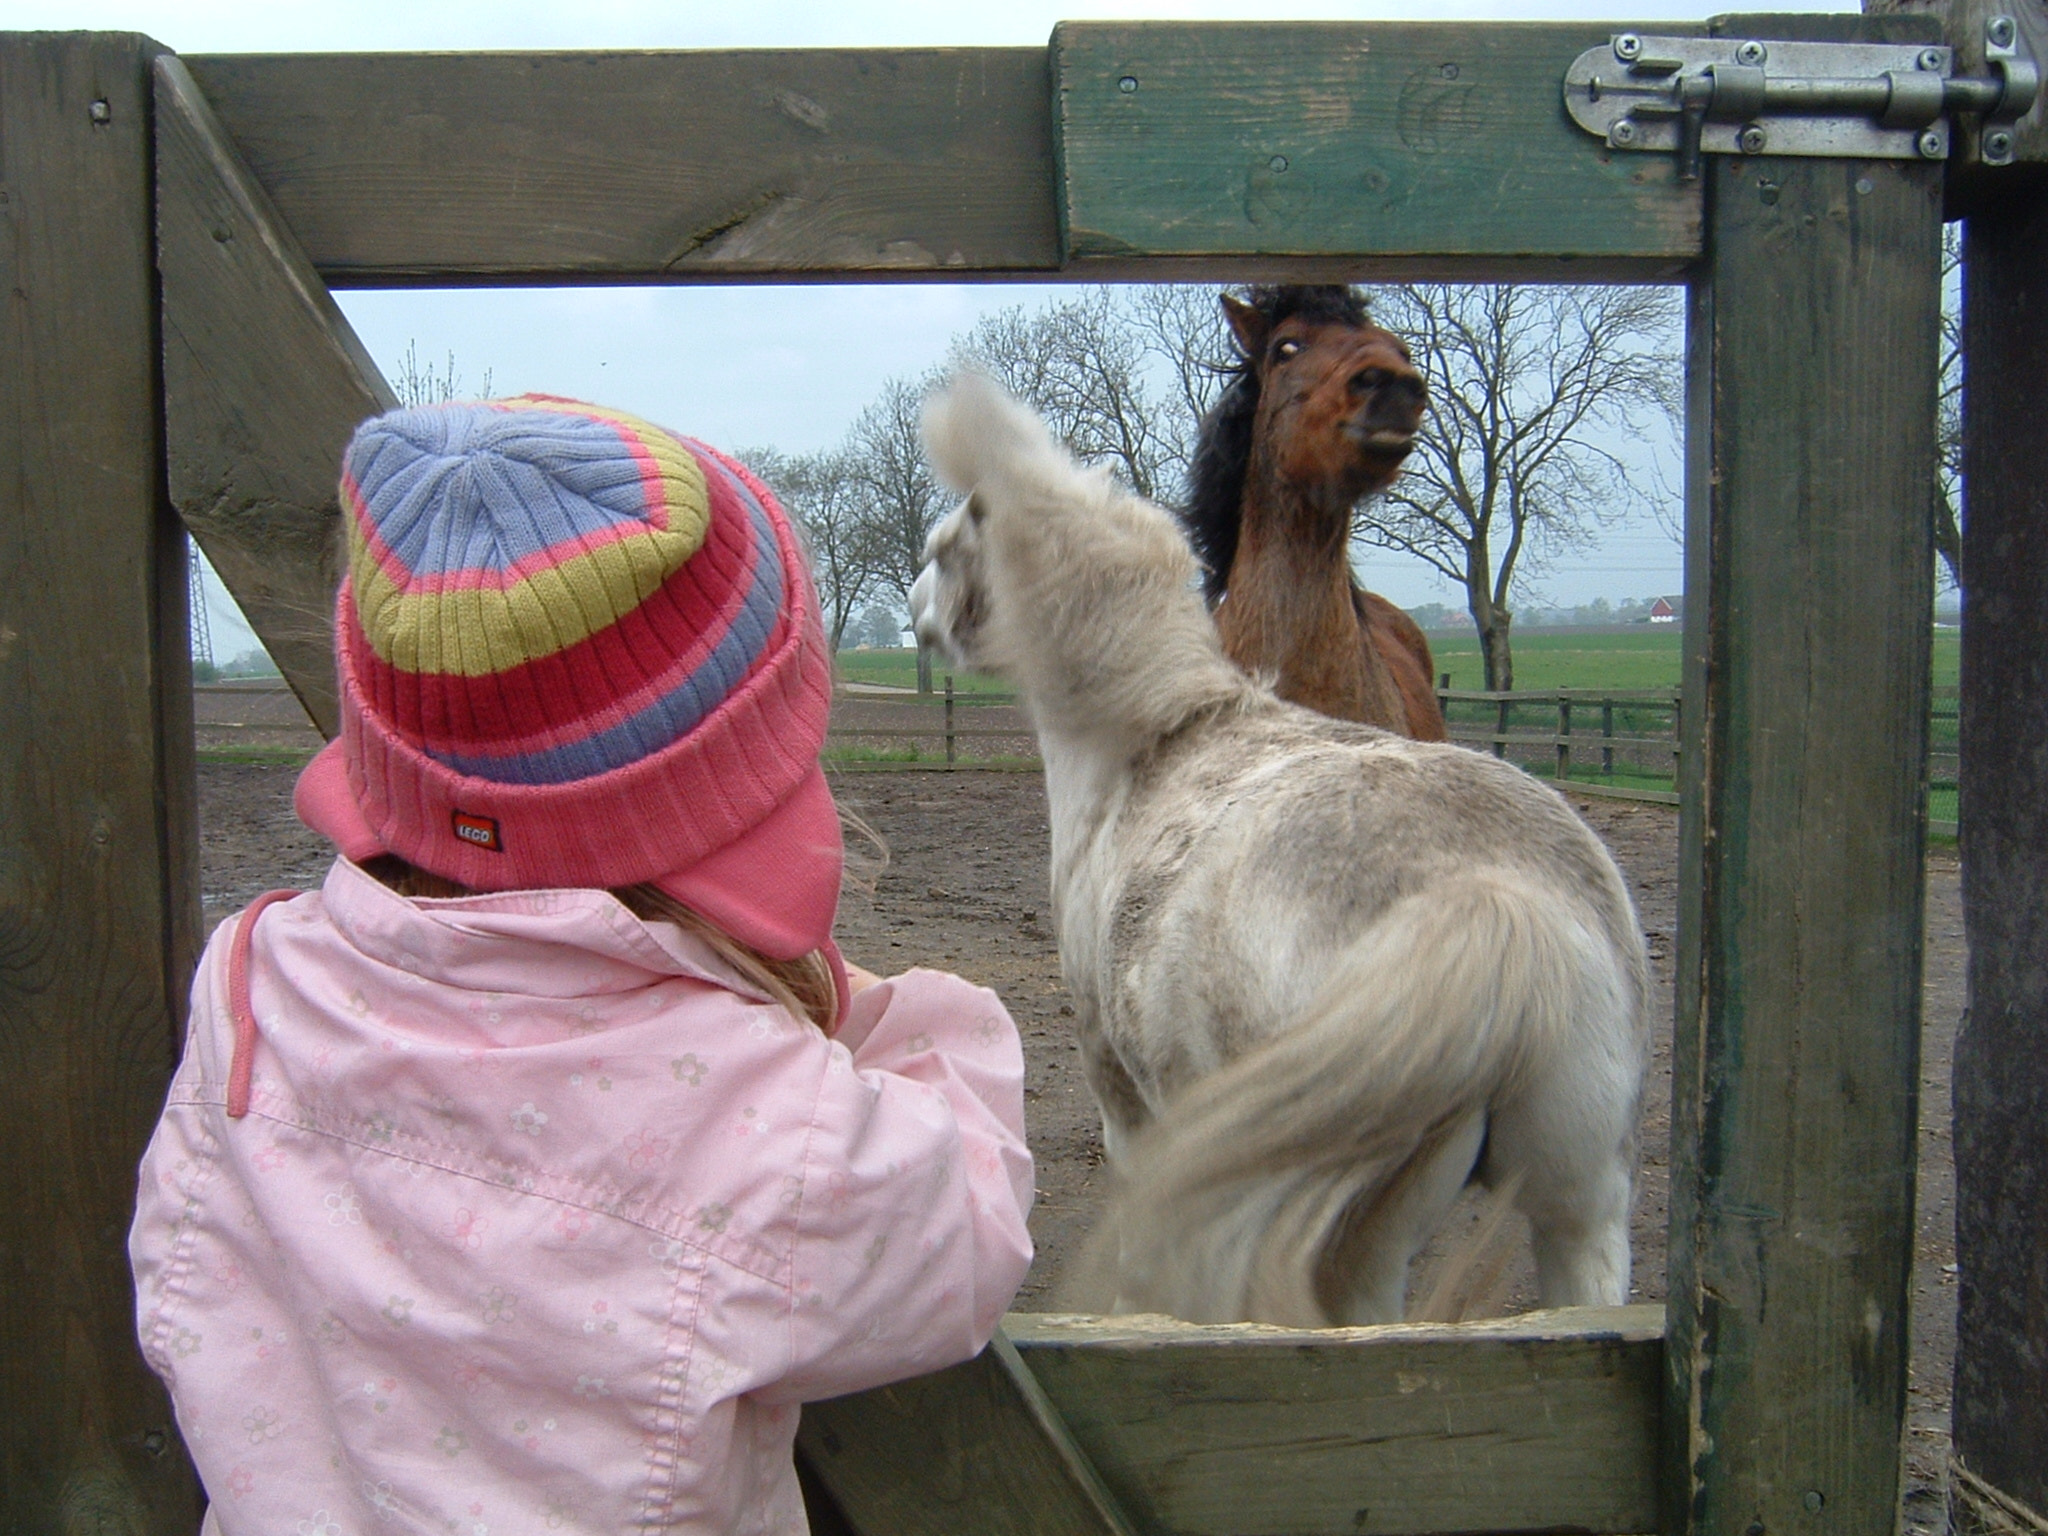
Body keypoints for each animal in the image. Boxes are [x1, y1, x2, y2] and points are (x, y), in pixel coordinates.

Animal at [913, 376, 1646, 1335]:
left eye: (944, 550)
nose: (913, 612)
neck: (1149, 741)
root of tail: (1495, 899)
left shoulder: (1124, 1097)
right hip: (1584, 1210)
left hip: (1359, 1247)